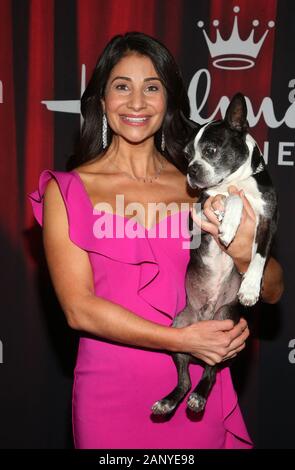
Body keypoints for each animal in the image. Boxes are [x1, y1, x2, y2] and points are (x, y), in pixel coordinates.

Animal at [151, 93, 278, 416]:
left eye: (210, 151)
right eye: (186, 155)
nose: (192, 169)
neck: (239, 180)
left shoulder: (268, 220)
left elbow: (259, 257)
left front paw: (250, 289)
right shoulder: (197, 212)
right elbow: (228, 196)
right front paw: (227, 217)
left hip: (226, 324)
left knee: (209, 371)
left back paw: (199, 396)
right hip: (180, 327)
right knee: (186, 377)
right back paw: (171, 401)